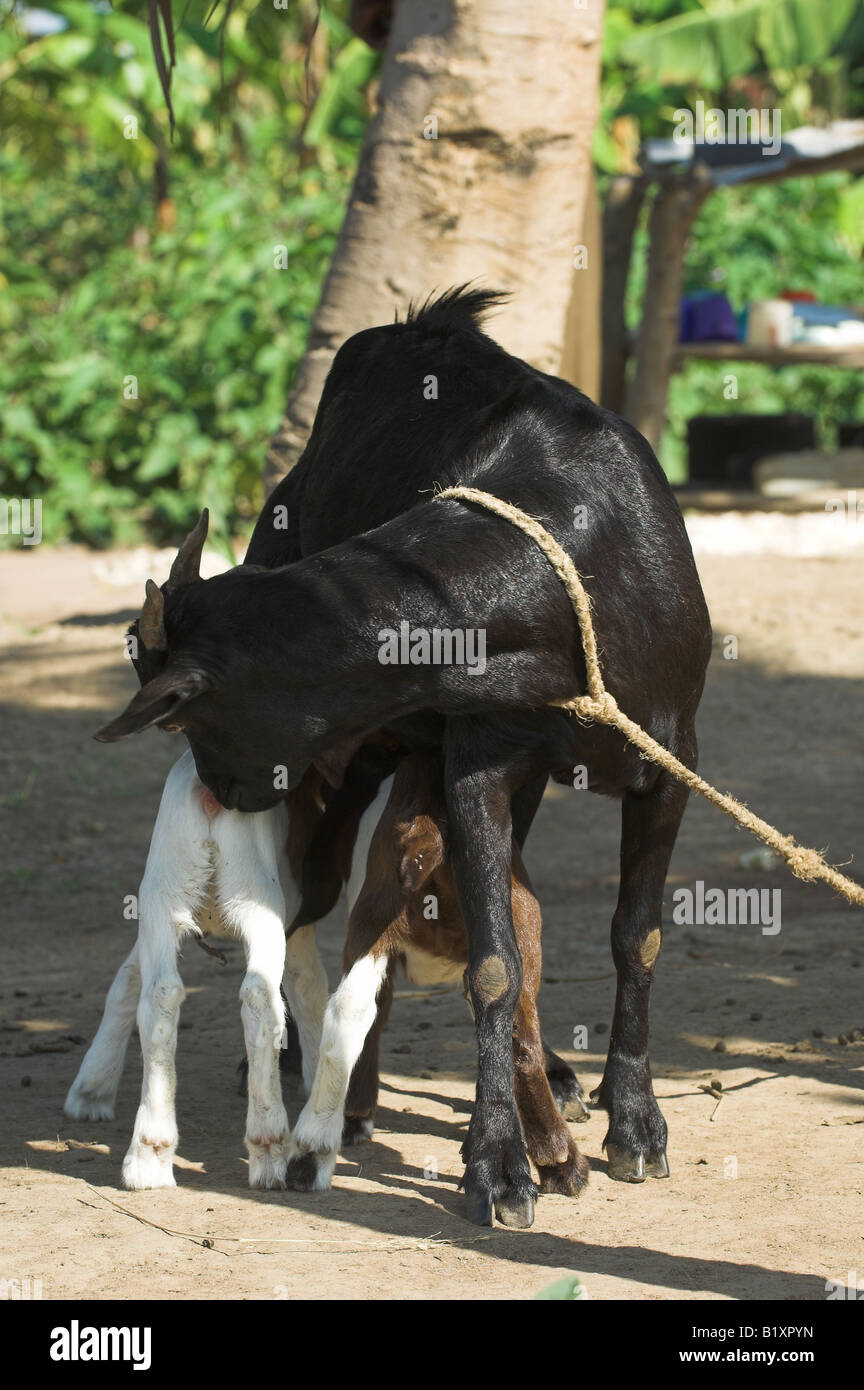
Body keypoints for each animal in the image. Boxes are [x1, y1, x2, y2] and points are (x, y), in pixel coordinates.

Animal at [94, 287, 712, 1225]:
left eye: (189, 717)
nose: (220, 791)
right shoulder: (478, 762)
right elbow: (493, 963)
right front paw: (498, 1162)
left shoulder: (669, 760)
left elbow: (632, 939)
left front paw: (634, 1122)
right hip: (349, 783)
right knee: (328, 911)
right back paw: (321, 1079)